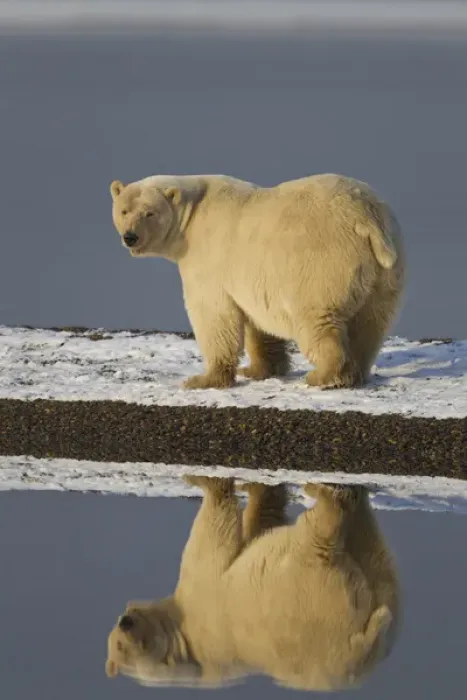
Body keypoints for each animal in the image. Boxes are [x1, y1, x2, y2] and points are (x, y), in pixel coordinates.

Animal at [105, 478, 401, 691]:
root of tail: (358, 650)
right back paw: (329, 493)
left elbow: (248, 528)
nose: (126, 621)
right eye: (121, 646)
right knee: (326, 534)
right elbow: (219, 535)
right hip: (319, 596)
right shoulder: (202, 607)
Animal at [110, 172, 405, 390]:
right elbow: (257, 321)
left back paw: (324, 376)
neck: (190, 217)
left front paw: (204, 379)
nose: (130, 237)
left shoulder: (208, 258)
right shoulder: (252, 278)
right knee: (370, 325)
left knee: (317, 319)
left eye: (150, 213)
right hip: (386, 274)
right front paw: (257, 369)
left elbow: (214, 315)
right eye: (124, 211)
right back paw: (356, 372)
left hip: (322, 264)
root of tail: (365, 217)